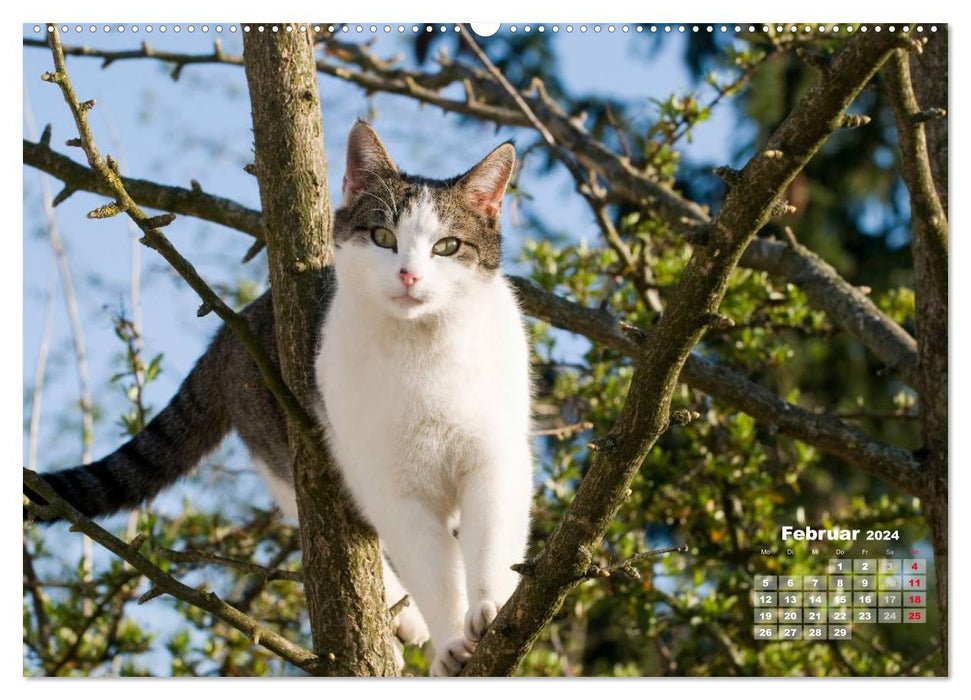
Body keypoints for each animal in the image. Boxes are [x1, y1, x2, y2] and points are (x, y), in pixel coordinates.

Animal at [24, 121, 540, 680]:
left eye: (447, 246)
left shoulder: (495, 457)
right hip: (282, 452)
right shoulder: (394, 486)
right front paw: (448, 641)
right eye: (383, 237)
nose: (409, 275)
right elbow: (431, 569)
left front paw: (490, 608)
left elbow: (492, 537)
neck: (424, 347)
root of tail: (234, 328)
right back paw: (406, 619)